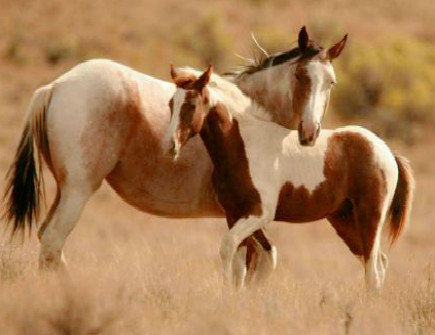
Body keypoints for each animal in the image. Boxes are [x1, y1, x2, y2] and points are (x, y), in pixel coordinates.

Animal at [2, 26, 348, 284]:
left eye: (330, 82)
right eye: (301, 75)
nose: (310, 132)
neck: (248, 118)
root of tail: (55, 87)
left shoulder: (240, 218)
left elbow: (250, 265)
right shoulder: (243, 214)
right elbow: (254, 265)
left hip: (65, 191)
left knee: (48, 243)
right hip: (78, 191)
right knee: (52, 243)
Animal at [167, 65, 416, 292]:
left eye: (191, 105)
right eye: (171, 104)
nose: (171, 146)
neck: (243, 145)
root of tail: (386, 151)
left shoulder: (260, 213)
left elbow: (228, 248)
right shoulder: (234, 214)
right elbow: (242, 262)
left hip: (369, 217)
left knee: (373, 271)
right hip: (345, 222)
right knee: (377, 263)